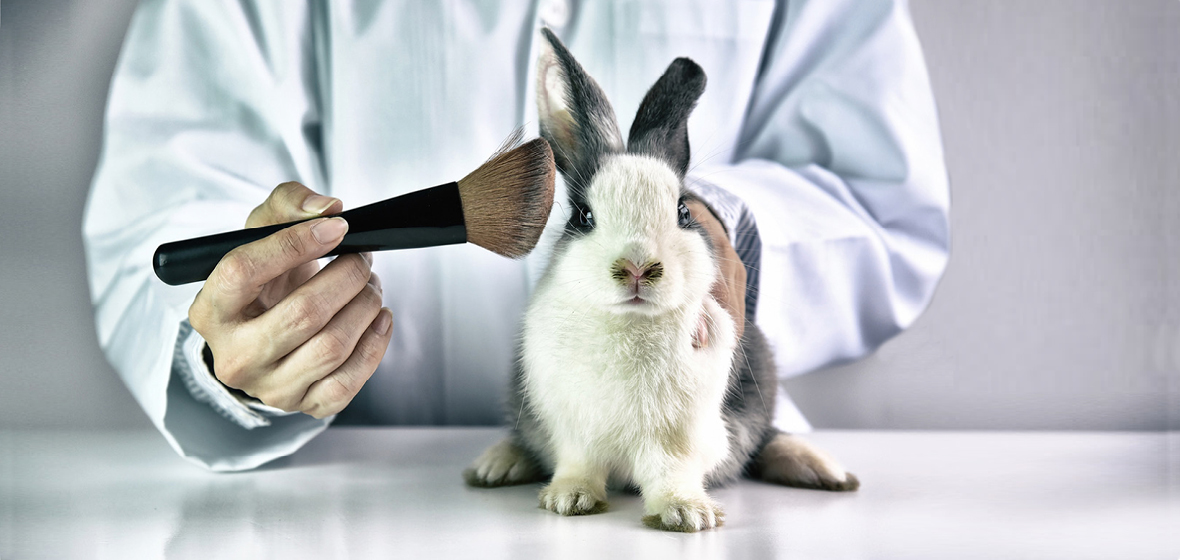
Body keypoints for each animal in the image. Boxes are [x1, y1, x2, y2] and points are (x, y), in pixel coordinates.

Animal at [464, 28, 859, 532]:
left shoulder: (681, 435)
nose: (637, 268)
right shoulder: (574, 429)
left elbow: (672, 471)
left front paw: (688, 514)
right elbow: (578, 465)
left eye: (684, 211)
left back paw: (822, 470)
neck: (629, 324)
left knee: (765, 439)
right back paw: (496, 465)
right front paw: (570, 499)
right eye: (583, 217)